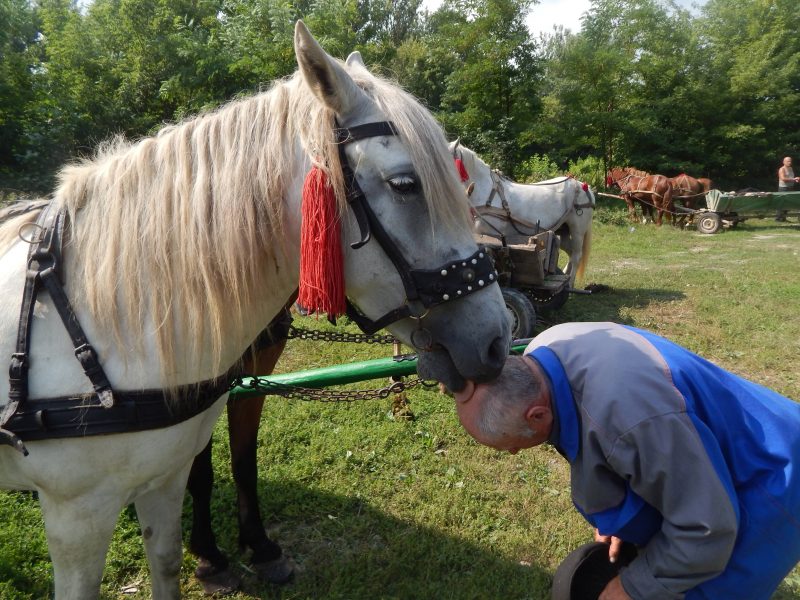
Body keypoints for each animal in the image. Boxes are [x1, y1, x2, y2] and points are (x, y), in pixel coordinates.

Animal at [0, 23, 510, 600]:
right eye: (406, 184)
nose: (498, 337)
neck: (114, 318)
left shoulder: (195, 439)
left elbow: (230, 474)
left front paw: (256, 548)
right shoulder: (78, 516)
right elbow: (205, 474)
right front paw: (214, 557)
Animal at [450, 141, 592, 286]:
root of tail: (582, 186)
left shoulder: (490, 236)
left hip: (577, 230)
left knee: (576, 255)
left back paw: (570, 284)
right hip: (562, 231)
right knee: (570, 252)